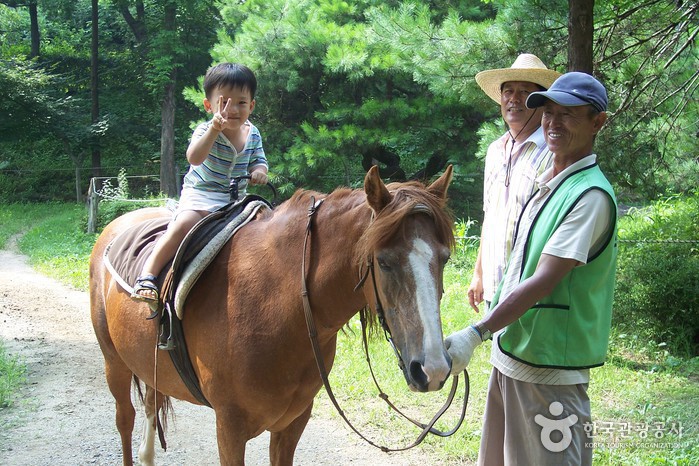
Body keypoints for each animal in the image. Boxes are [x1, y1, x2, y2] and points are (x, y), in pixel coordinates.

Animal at [90, 166, 456, 464]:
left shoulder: (292, 423)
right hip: (114, 364)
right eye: (383, 261)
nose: (433, 368)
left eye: (445, 258)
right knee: (125, 420)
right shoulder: (229, 428)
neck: (280, 307)